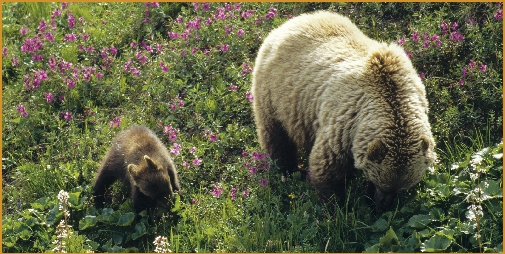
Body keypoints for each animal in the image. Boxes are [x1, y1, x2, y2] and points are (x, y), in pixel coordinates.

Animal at [252, 10, 438, 211]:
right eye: (382, 183)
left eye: (402, 188)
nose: (383, 206)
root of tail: (288, 23)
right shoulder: (345, 124)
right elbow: (327, 168)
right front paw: (337, 206)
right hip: (274, 94)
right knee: (277, 136)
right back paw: (289, 170)